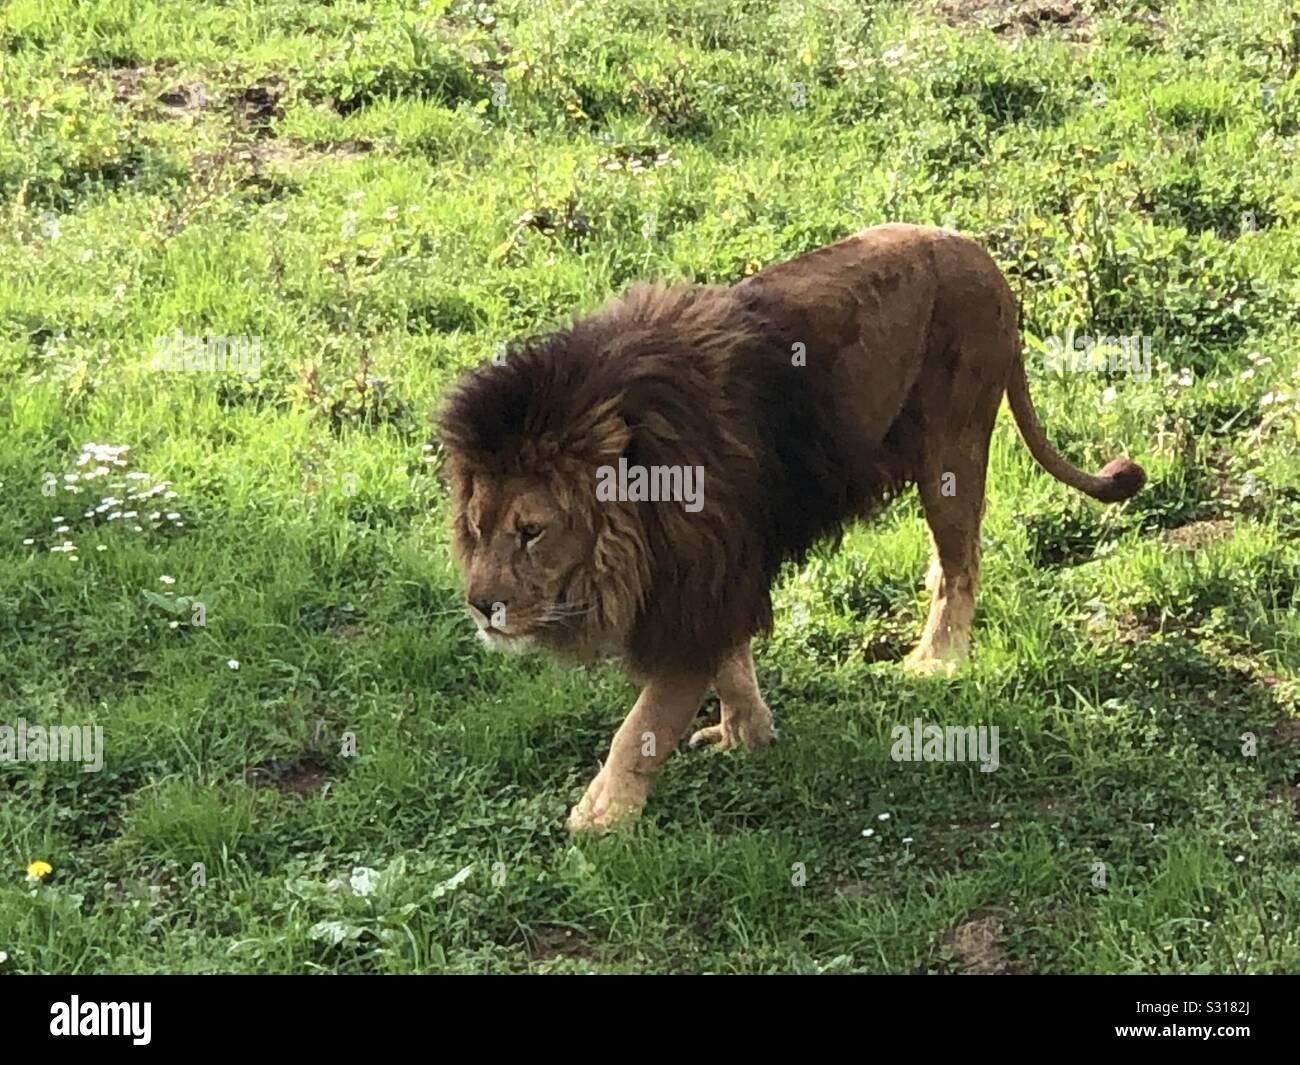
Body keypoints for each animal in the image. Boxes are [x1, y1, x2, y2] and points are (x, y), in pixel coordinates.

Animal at [434, 224, 1138, 837]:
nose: (482, 607)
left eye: (531, 532)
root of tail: (977, 251)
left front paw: (600, 817)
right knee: (950, 559)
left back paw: (936, 661)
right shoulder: (718, 566)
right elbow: (729, 667)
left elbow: (645, 722)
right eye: (476, 526)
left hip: (952, 445)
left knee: (962, 561)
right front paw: (747, 735)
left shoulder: (702, 582)